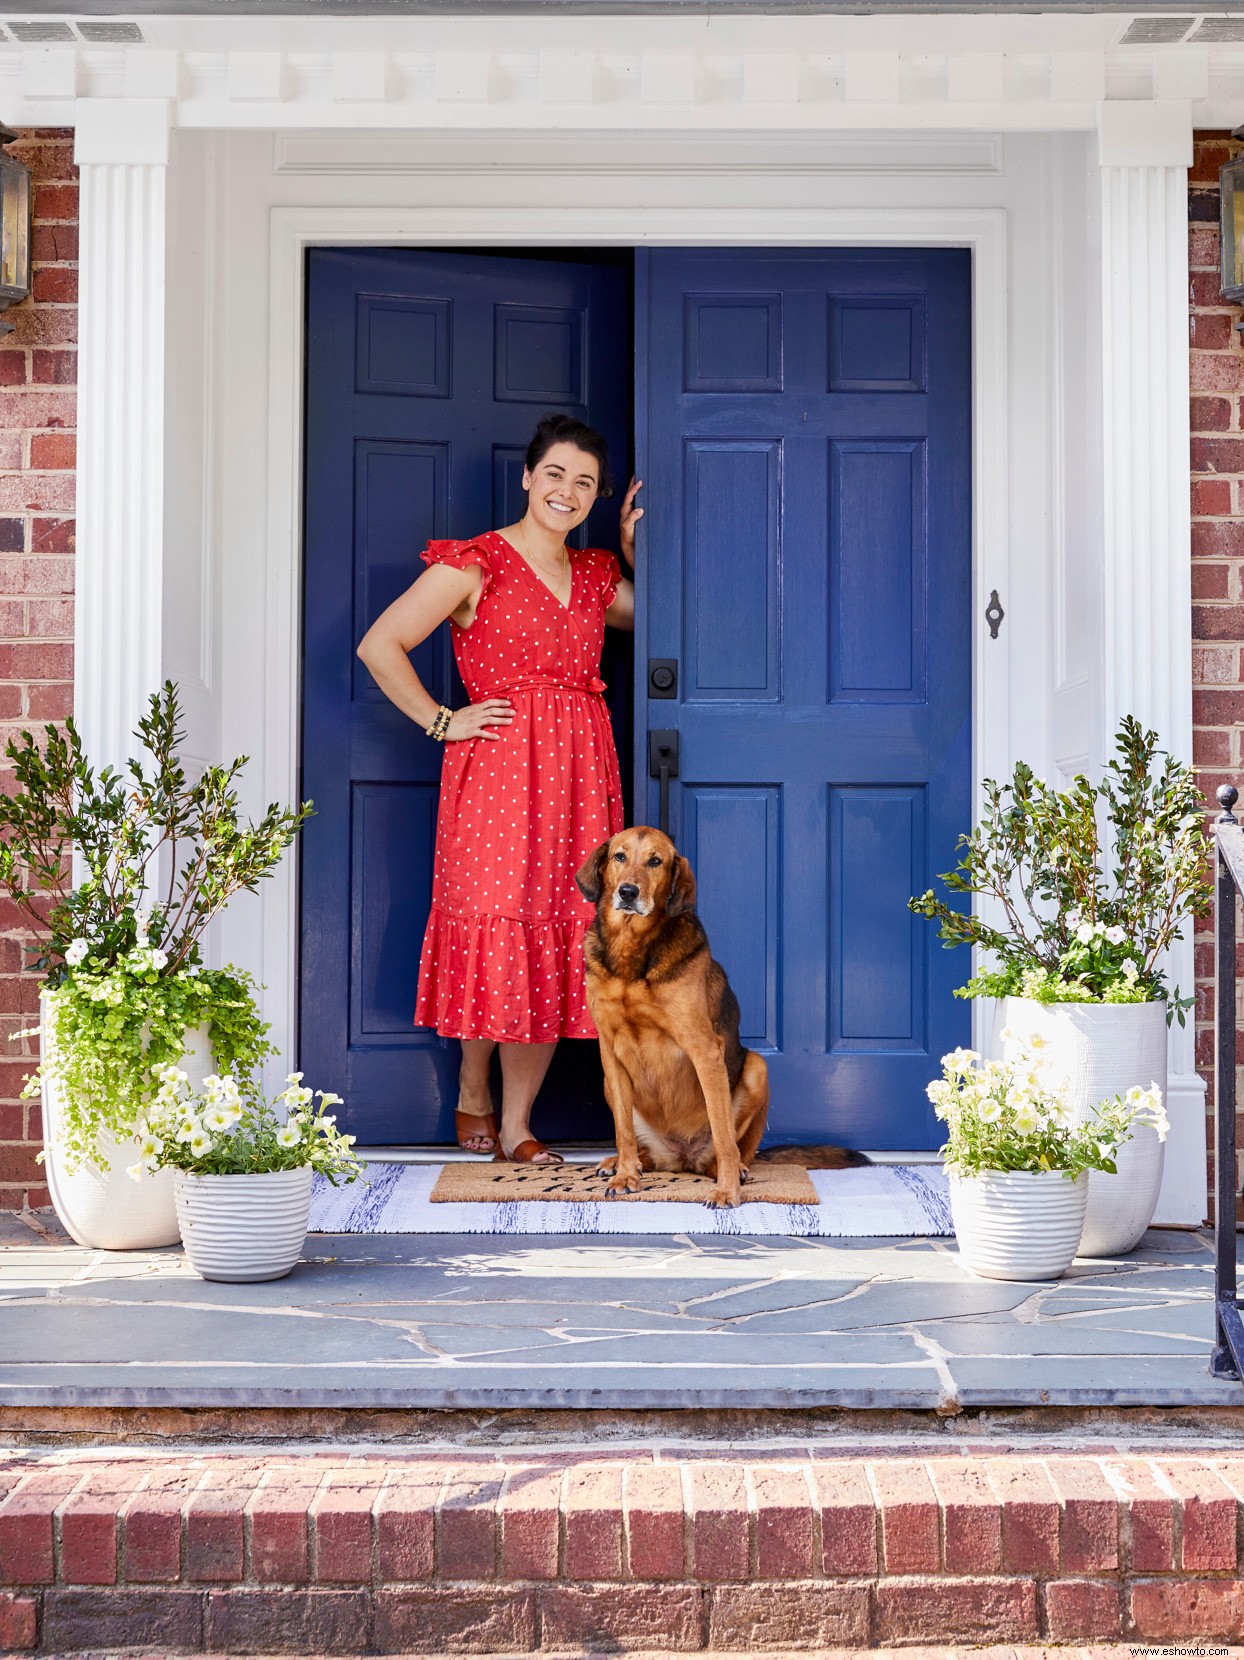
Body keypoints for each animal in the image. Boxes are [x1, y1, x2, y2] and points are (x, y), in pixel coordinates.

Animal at [574, 826, 767, 1208]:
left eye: (656, 861)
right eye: (619, 856)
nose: (628, 892)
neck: (631, 950)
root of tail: (680, 1158)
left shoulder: (705, 1049)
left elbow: (723, 1136)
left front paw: (727, 1190)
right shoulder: (609, 1050)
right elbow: (623, 1131)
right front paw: (625, 1176)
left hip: (758, 1067)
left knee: (732, 1149)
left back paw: (733, 1171)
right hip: (609, 1084)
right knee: (641, 1148)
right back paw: (623, 1162)